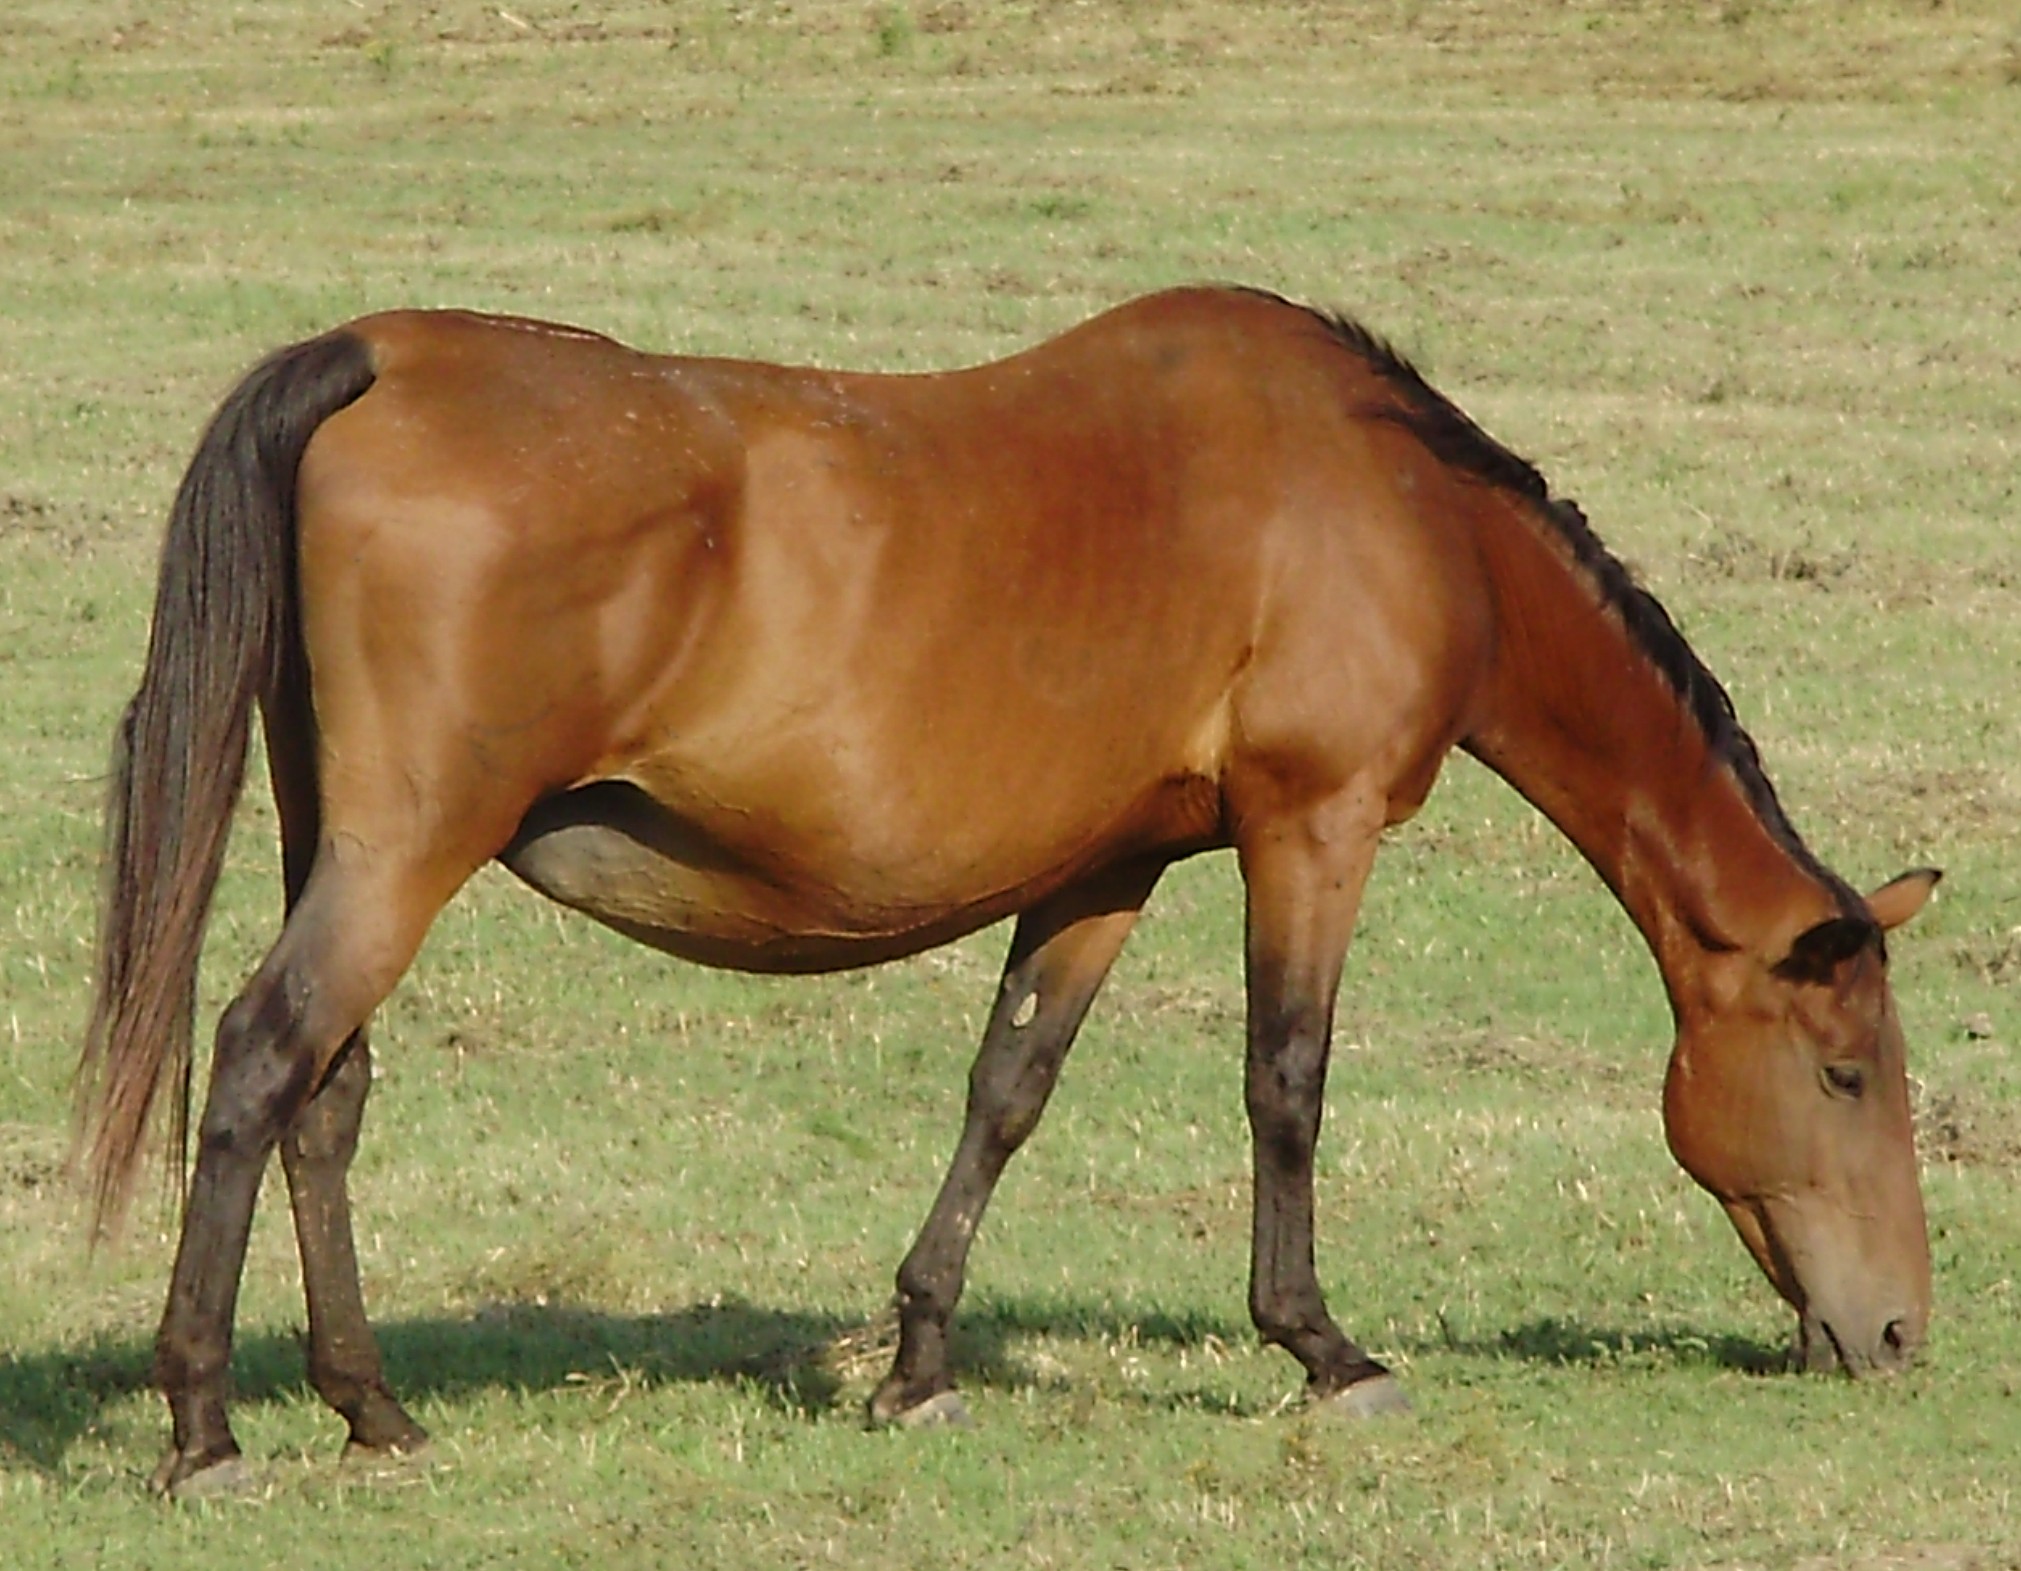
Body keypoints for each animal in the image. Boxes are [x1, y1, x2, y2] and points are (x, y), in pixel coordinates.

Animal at [78, 285, 1940, 1496]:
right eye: (1845, 1073)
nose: (1898, 1335)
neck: (1392, 501)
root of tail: (380, 358)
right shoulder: (1311, 829)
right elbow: (1286, 1083)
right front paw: (1323, 1349)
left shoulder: (1105, 865)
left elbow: (1008, 1089)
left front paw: (917, 1365)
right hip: (406, 853)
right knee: (259, 1061)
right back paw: (205, 1429)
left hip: (349, 845)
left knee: (325, 1096)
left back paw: (373, 1411)